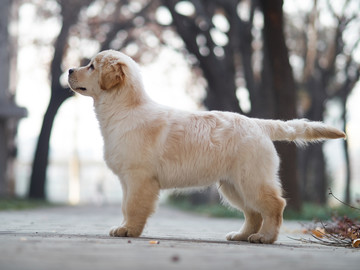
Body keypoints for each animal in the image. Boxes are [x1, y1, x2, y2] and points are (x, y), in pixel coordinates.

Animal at [67, 49, 346, 244]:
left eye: (91, 66)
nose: (69, 69)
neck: (125, 109)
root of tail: (259, 124)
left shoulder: (139, 178)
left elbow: (132, 207)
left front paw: (128, 230)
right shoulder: (128, 179)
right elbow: (126, 206)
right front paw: (125, 227)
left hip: (251, 178)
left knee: (274, 206)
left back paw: (265, 237)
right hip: (233, 184)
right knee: (253, 213)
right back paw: (242, 235)